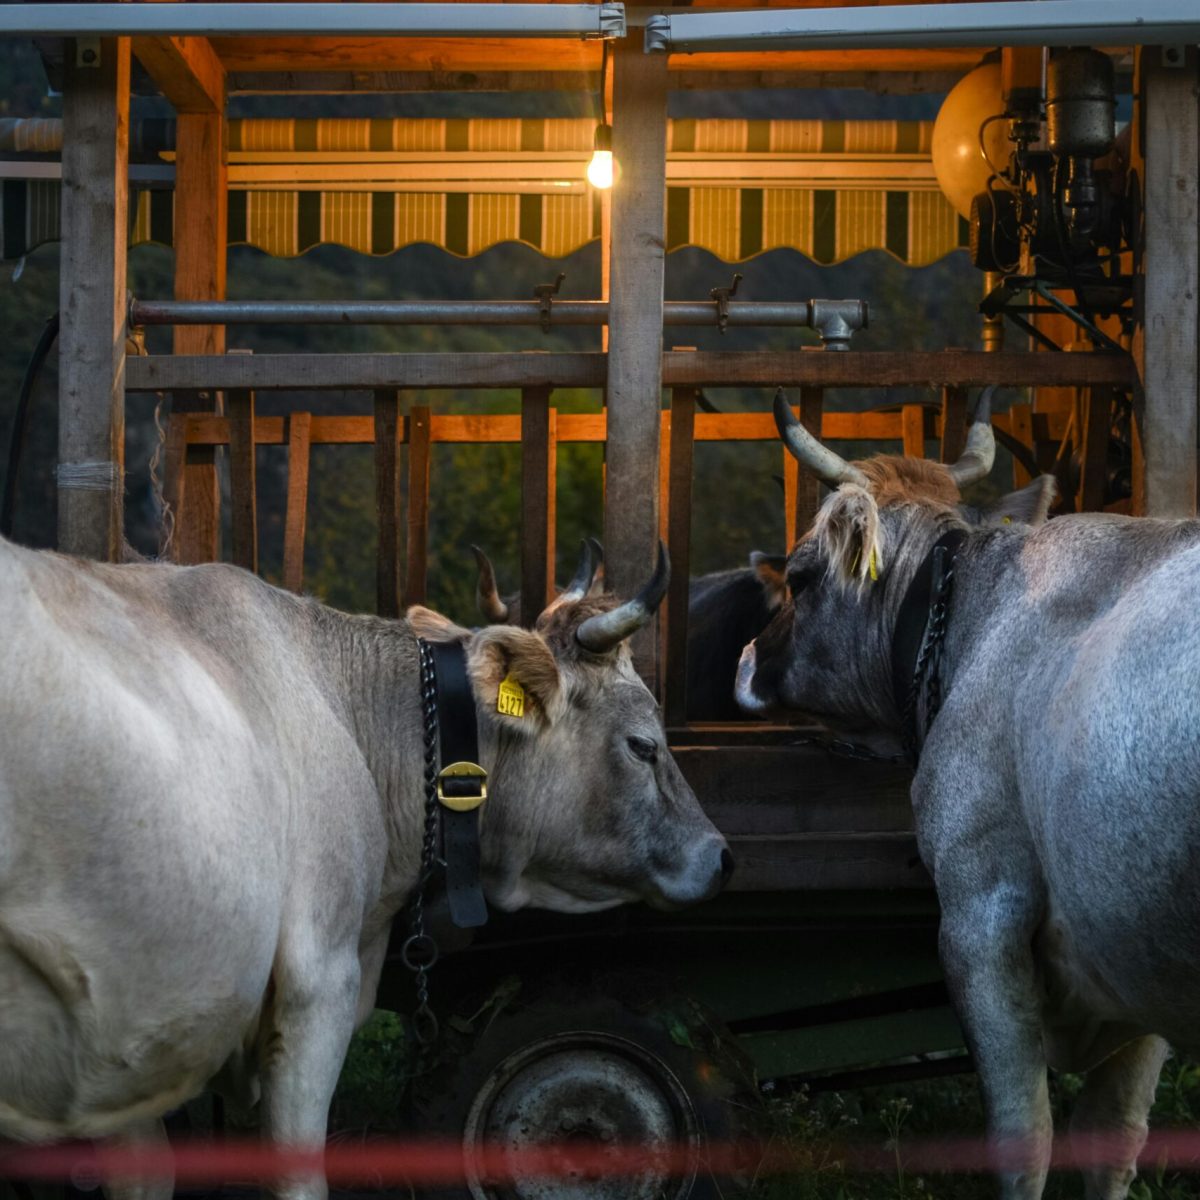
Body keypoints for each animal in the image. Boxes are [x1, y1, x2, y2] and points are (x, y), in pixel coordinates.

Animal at [735, 387, 1200, 1200]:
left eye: (799, 576)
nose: (746, 658)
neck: (978, 623)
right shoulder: (1130, 951)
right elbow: (1113, 1139)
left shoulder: (981, 916)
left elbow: (1025, 1140)